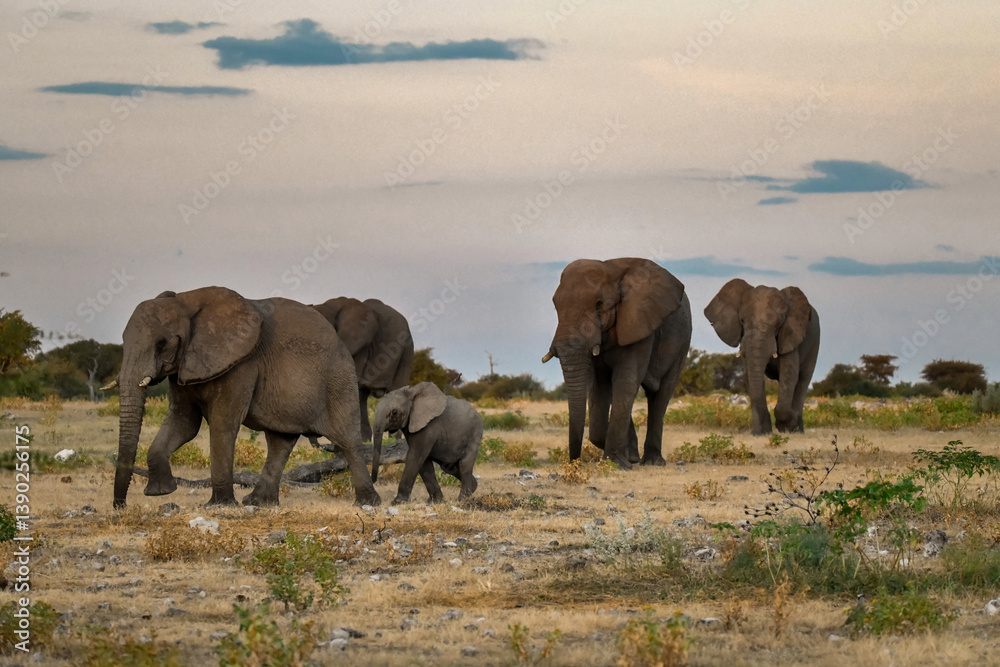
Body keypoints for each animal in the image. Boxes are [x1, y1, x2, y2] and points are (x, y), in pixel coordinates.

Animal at [104, 286, 380, 509]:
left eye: (161, 344)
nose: (121, 506)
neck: (185, 301)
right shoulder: (185, 365)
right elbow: (184, 423)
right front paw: (161, 492)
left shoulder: (241, 366)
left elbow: (222, 424)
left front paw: (219, 506)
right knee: (280, 442)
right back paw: (259, 503)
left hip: (338, 380)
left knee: (347, 440)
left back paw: (367, 503)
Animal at [541, 258, 692, 469]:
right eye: (556, 306)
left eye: (599, 305)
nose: (574, 464)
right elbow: (599, 386)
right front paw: (626, 457)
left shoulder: (639, 323)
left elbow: (626, 381)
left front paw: (616, 463)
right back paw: (635, 456)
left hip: (683, 341)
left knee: (660, 396)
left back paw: (653, 461)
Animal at [704, 278, 820, 435]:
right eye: (742, 321)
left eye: (778, 325)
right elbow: (750, 376)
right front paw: (761, 433)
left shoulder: (791, 335)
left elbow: (789, 375)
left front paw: (787, 427)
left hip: (814, 343)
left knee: (803, 380)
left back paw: (797, 430)